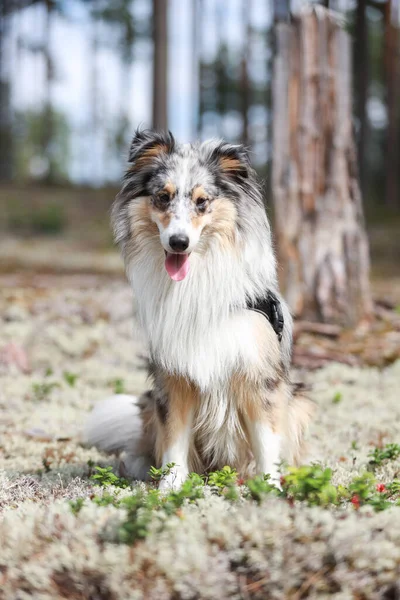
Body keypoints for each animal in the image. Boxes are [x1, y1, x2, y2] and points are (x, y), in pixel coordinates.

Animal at [84, 129, 312, 490]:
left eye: (202, 202)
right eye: (163, 197)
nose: (178, 242)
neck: (196, 279)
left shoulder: (258, 375)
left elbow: (265, 439)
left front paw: (271, 487)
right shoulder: (174, 377)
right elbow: (175, 437)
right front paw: (169, 486)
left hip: (298, 400)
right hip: (150, 400)